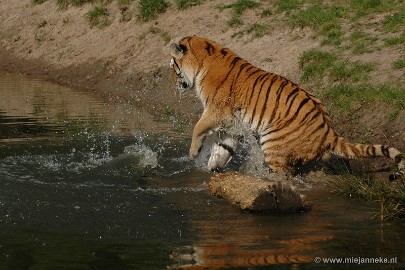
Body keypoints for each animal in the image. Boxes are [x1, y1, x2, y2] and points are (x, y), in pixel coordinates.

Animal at [169, 36, 402, 179]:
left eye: (173, 66)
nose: (174, 83)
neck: (203, 61)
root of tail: (329, 130)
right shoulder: (233, 125)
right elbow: (223, 147)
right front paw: (212, 167)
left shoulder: (216, 111)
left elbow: (198, 127)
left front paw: (193, 152)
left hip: (273, 143)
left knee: (283, 175)